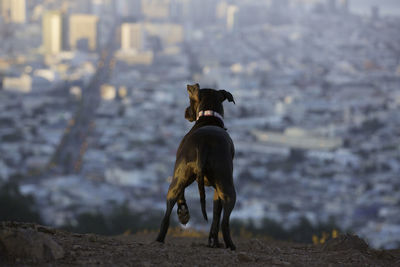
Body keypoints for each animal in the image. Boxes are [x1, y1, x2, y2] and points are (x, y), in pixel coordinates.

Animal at [155, 83, 238, 251]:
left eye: (190, 100)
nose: (186, 111)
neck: (209, 117)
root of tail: (203, 144)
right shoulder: (217, 192)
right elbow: (216, 218)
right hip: (224, 187)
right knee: (224, 222)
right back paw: (230, 245)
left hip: (180, 176)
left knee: (168, 210)